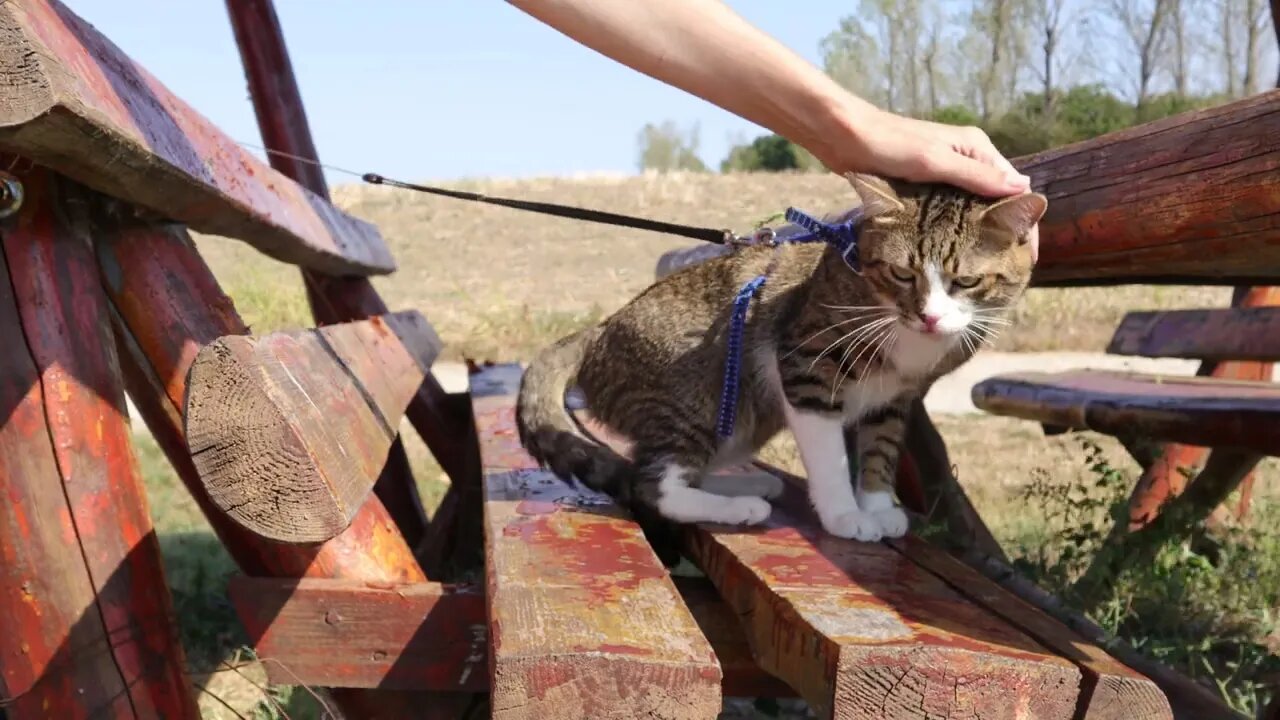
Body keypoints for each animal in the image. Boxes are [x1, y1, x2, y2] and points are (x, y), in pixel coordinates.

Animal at [514, 174, 1044, 540]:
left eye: (966, 282)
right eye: (901, 274)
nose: (929, 316)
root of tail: (598, 329)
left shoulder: (896, 397)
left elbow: (882, 448)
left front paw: (875, 505)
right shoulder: (804, 367)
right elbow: (830, 457)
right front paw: (846, 515)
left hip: (744, 421)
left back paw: (737, 487)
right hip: (700, 396)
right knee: (651, 484)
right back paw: (734, 507)